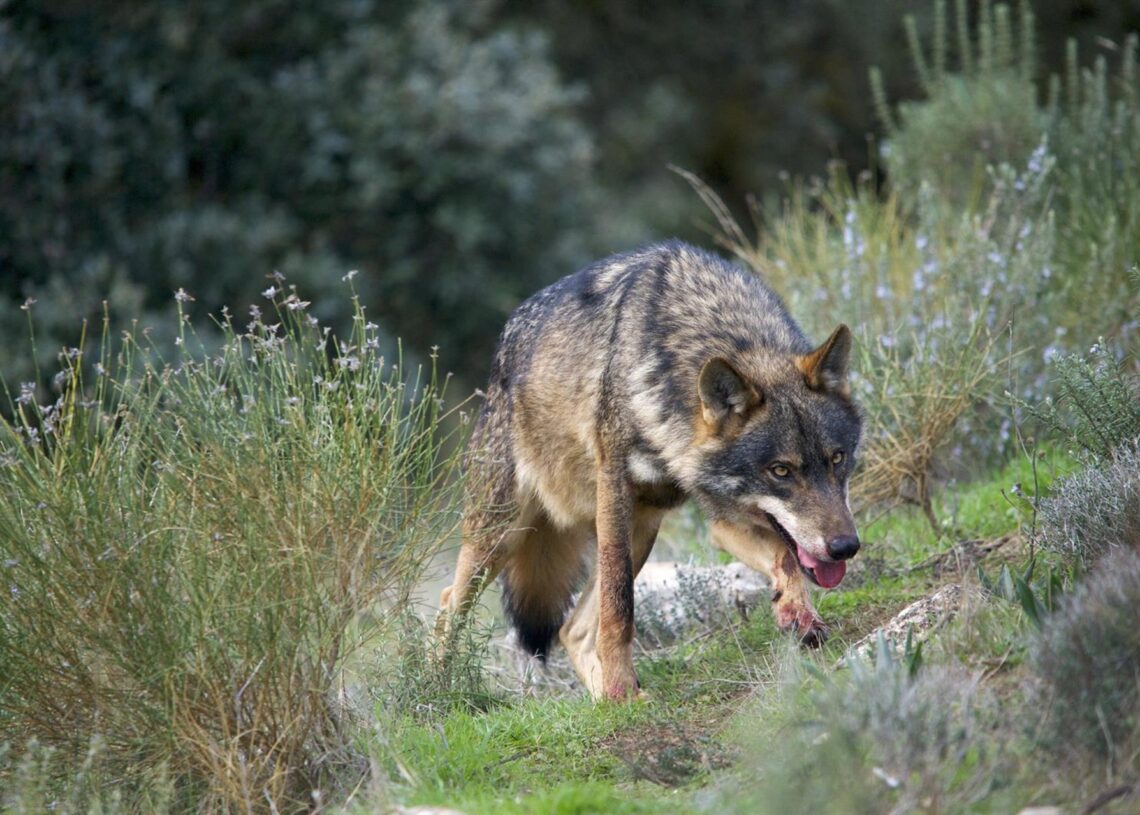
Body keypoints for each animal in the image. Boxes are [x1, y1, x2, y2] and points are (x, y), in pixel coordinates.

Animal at [437, 241, 862, 701]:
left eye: (837, 459)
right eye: (781, 471)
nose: (845, 547)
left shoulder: (723, 518)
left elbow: (785, 557)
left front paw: (797, 613)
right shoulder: (615, 491)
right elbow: (619, 608)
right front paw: (621, 683)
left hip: (642, 529)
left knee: (572, 630)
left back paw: (608, 701)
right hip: (503, 535)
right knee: (448, 605)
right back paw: (438, 689)